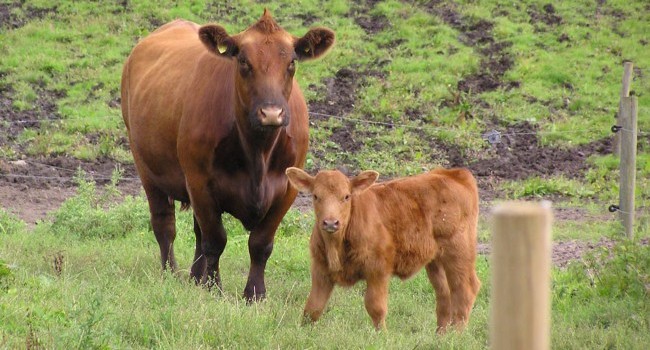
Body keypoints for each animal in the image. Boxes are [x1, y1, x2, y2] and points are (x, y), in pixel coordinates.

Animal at [121, 10, 334, 300]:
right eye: (243, 61)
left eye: (291, 62)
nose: (271, 113)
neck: (258, 152)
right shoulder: (199, 181)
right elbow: (215, 240)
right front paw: (213, 288)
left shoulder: (287, 189)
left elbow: (260, 244)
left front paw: (254, 294)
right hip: (146, 166)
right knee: (165, 225)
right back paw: (171, 274)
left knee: (196, 231)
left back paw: (194, 277)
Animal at [286, 167, 478, 330]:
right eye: (315, 196)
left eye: (346, 196)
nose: (331, 223)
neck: (336, 246)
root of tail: (454, 173)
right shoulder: (320, 271)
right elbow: (313, 307)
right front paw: (303, 333)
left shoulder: (378, 270)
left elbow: (375, 306)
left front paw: (381, 335)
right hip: (436, 261)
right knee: (445, 294)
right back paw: (440, 335)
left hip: (458, 251)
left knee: (465, 290)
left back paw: (456, 334)